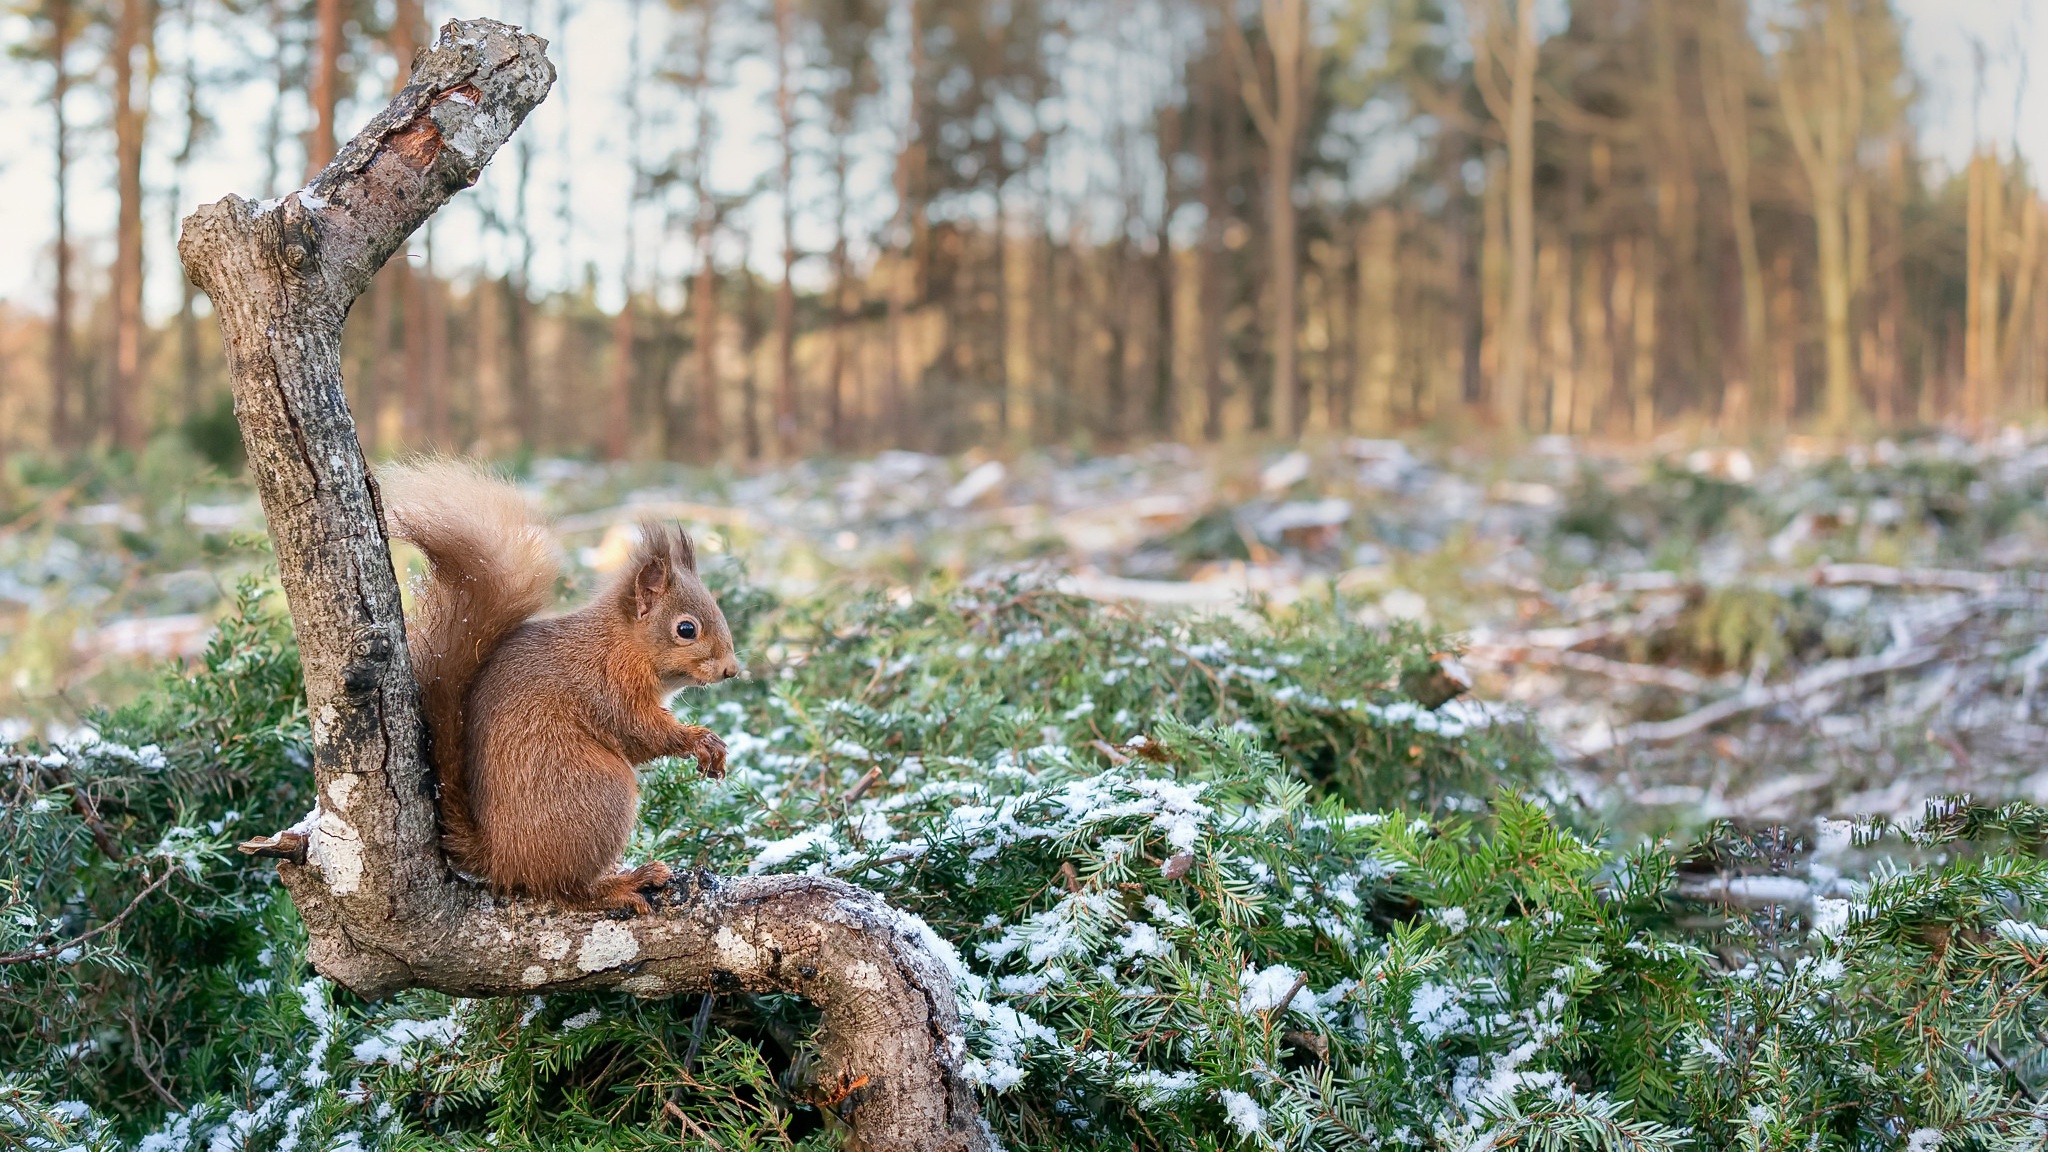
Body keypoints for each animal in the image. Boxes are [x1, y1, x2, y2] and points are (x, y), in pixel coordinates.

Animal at [380, 459, 741, 914]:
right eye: (686, 629)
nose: (732, 670)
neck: (621, 644)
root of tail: (500, 857)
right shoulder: (608, 687)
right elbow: (640, 732)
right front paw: (700, 740)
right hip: (600, 795)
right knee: (565, 889)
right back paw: (622, 884)